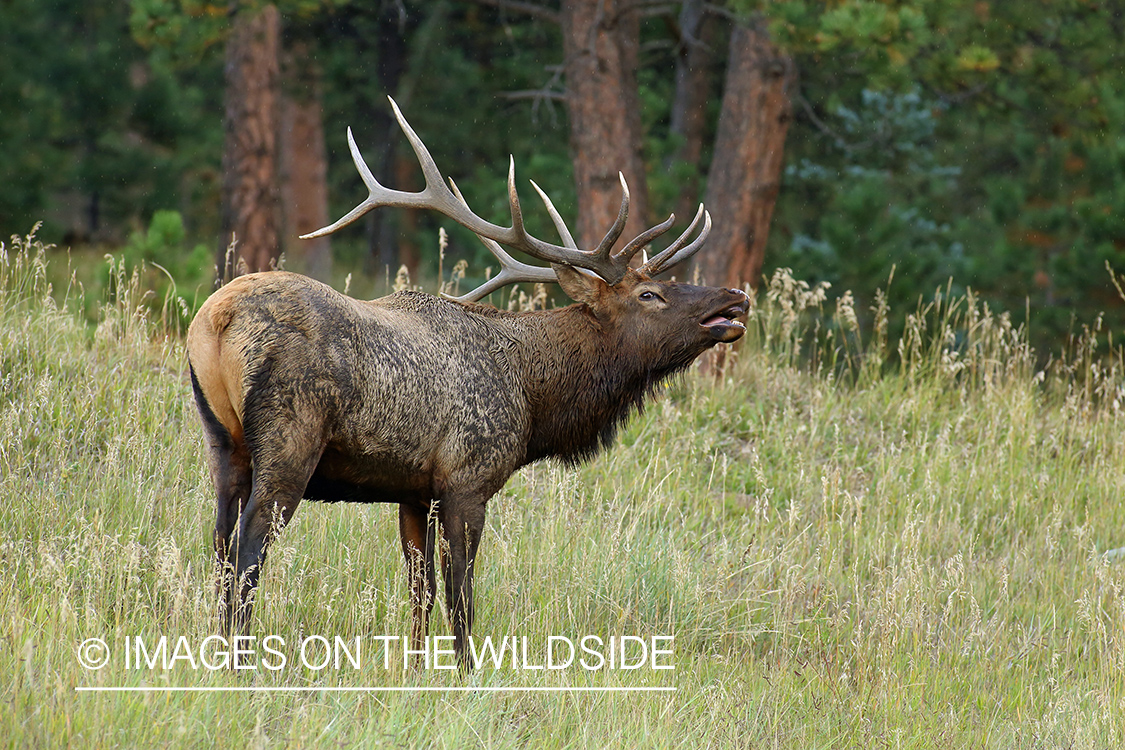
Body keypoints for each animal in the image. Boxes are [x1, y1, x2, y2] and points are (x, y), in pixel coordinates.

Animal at [186, 99, 747, 670]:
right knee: (249, 550)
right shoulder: (468, 479)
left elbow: (421, 591)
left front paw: (414, 669)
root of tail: (218, 316)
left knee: (220, 542)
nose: (735, 298)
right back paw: (242, 663)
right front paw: (466, 673)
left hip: (222, 443)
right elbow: (462, 596)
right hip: (290, 439)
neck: (534, 400)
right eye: (649, 294)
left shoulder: (414, 492)